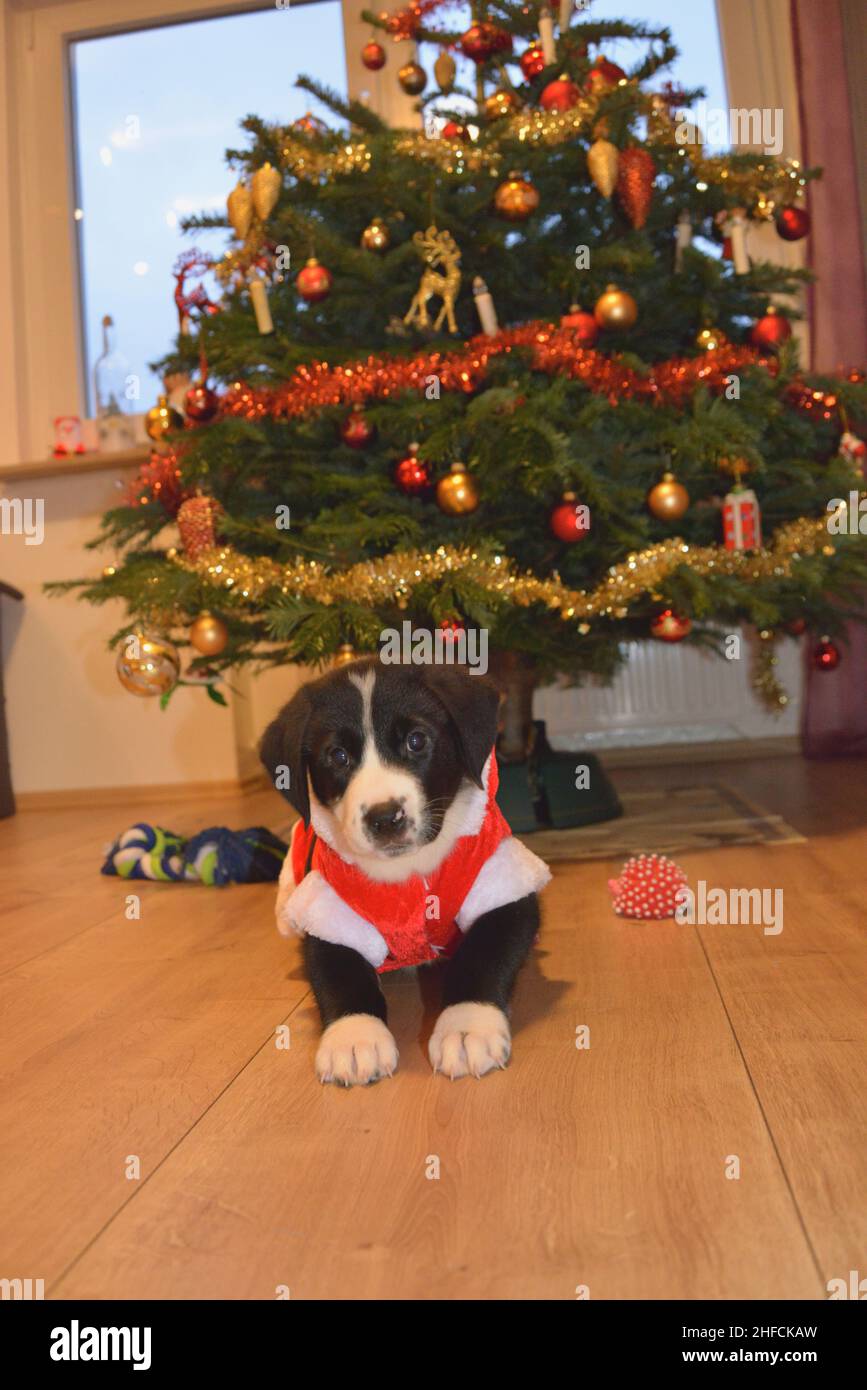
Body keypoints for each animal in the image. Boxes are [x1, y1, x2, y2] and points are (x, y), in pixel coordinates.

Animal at [261, 658, 552, 1084]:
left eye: (416, 741)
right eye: (338, 756)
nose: (385, 818)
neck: (409, 870)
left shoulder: (502, 888)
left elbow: (485, 954)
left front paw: (467, 1027)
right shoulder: (328, 909)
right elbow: (338, 971)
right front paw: (354, 1037)